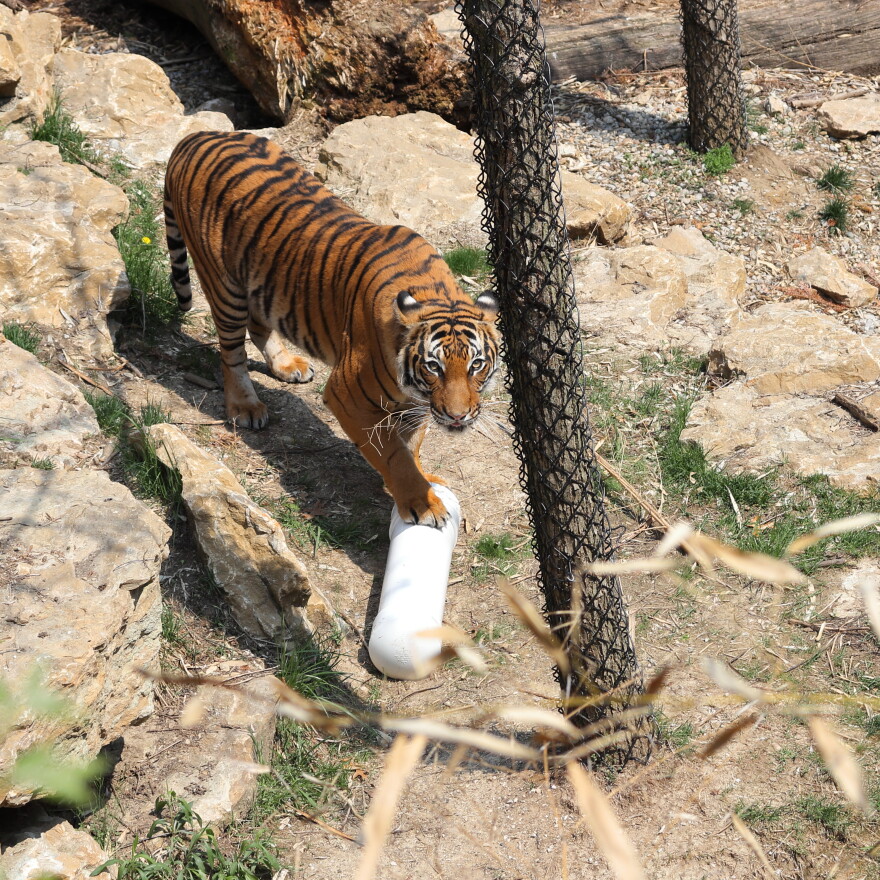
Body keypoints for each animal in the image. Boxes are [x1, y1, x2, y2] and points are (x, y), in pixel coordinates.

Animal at [164, 130, 500, 528]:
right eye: (434, 367)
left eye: (476, 365)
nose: (459, 416)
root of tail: (197, 135)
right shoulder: (347, 396)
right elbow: (394, 455)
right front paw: (421, 501)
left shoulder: (414, 405)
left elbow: (412, 444)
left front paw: (425, 479)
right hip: (222, 283)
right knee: (231, 353)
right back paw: (245, 406)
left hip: (261, 282)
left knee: (260, 327)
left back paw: (287, 366)